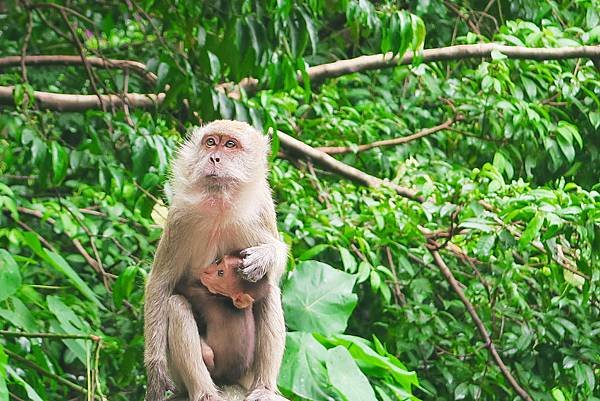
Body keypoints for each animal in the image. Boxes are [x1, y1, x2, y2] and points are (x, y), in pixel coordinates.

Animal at [143, 119, 288, 400]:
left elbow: (274, 263)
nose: (214, 157)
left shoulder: (262, 208)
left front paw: (265, 255)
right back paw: (205, 393)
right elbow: (161, 284)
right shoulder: (179, 218)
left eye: (230, 144)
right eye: (211, 142)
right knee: (175, 306)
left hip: (247, 374)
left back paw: (264, 388)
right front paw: (155, 369)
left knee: (269, 293)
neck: (220, 204)